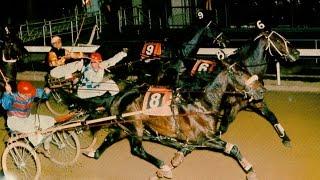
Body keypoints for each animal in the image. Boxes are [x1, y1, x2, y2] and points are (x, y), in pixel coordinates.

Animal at [84, 60, 264, 180]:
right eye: (239, 73)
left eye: (247, 70)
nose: (261, 90)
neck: (202, 103)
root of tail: (116, 96)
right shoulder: (204, 138)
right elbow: (232, 148)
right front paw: (250, 170)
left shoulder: (193, 141)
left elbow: (182, 153)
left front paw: (165, 169)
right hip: (135, 124)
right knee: (137, 149)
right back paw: (161, 164)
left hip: (125, 126)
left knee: (111, 137)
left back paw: (93, 153)